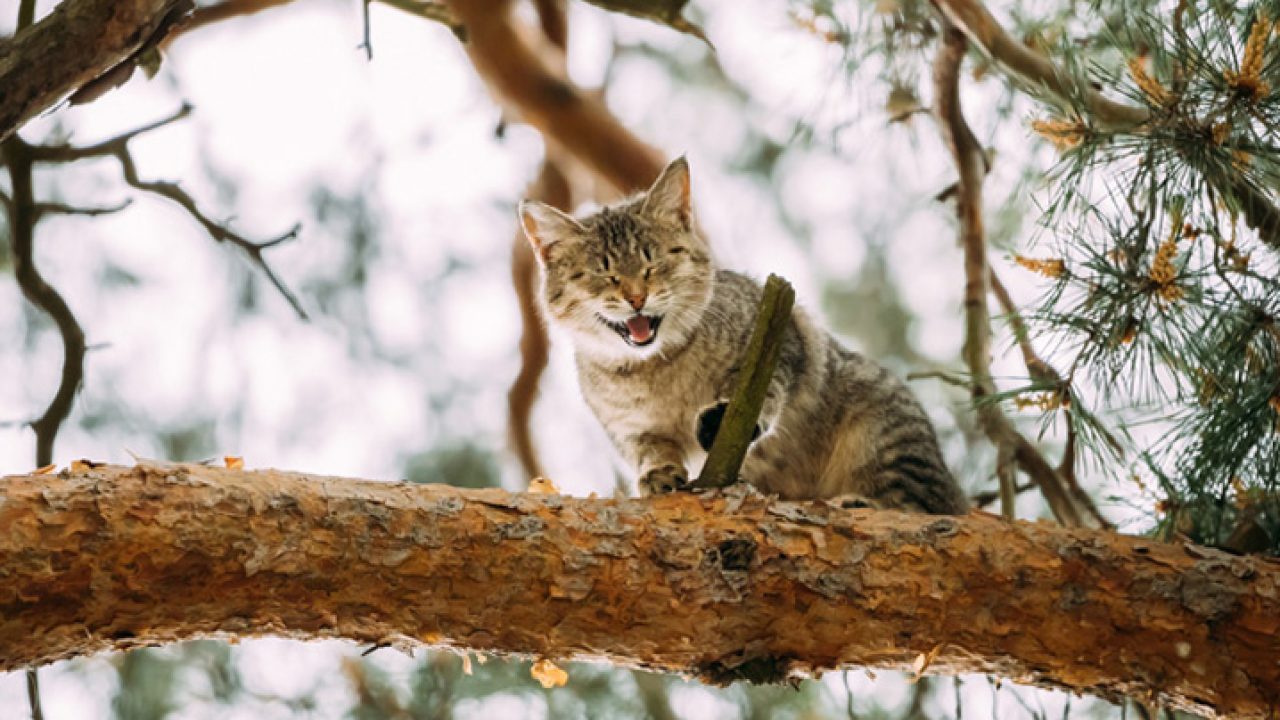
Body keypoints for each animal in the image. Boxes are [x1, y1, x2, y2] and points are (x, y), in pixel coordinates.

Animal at [514, 155, 962, 512]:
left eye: (652, 262)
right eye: (603, 273)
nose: (637, 297)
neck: (657, 370)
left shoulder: (785, 337)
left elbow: (762, 388)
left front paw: (724, 414)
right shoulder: (630, 429)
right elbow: (650, 449)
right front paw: (658, 472)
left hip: (885, 432)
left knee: (920, 505)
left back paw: (859, 502)